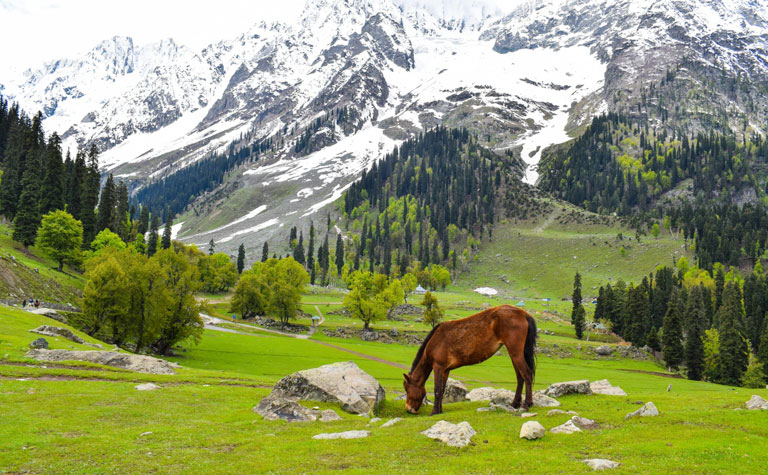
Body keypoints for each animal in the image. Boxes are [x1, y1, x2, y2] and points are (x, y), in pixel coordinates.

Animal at [404, 306, 536, 414]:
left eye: (407, 389)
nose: (409, 409)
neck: (435, 340)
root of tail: (524, 314)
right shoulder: (445, 370)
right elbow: (442, 390)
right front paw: (439, 410)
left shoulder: (438, 367)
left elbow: (437, 389)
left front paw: (434, 412)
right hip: (514, 355)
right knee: (520, 377)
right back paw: (515, 404)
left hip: (516, 353)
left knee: (527, 375)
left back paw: (526, 405)